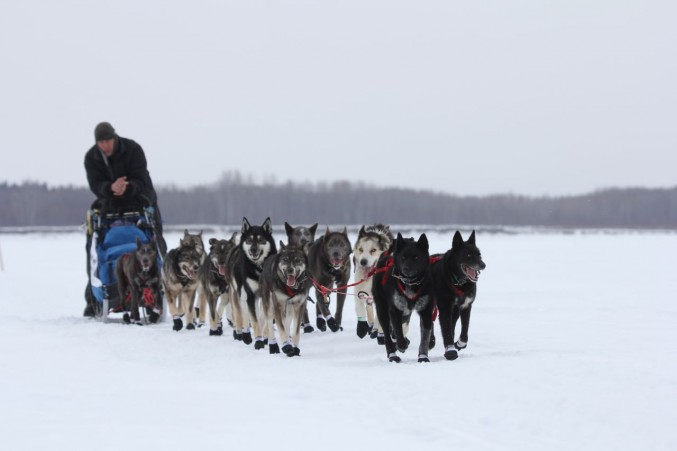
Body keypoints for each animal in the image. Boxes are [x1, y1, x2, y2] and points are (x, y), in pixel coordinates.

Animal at [370, 233, 434, 364]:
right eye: (403, 257)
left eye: (416, 257)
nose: (406, 268)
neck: (411, 284)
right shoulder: (395, 310)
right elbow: (398, 331)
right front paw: (401, 345)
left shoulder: (426, 311)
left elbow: (425, 337)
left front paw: (423, 357)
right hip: (382, 310)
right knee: (387, 335)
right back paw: (392, 354)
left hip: (405, 313)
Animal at [430, 231, 484, 362]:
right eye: (468, 255)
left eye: (479, 254)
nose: (483, 265)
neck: (459, 282)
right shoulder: (445, 307)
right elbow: (446, 330)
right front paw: (450, 352)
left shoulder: (466, 305)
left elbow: (465, 330)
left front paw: (458, 344)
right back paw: (431, 342)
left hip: (454, 311)